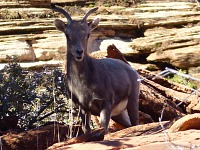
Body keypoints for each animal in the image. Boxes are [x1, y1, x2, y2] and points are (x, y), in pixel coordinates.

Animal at [52, 4, 141, 134]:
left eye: (87, 34)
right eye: (67, 34)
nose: (79, 52)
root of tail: (134, 73)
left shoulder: (106, 102)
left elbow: (104, 128)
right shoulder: (82, 106)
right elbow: (86, 129)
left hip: (132, 99)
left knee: (135, 122)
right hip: (119, 113)